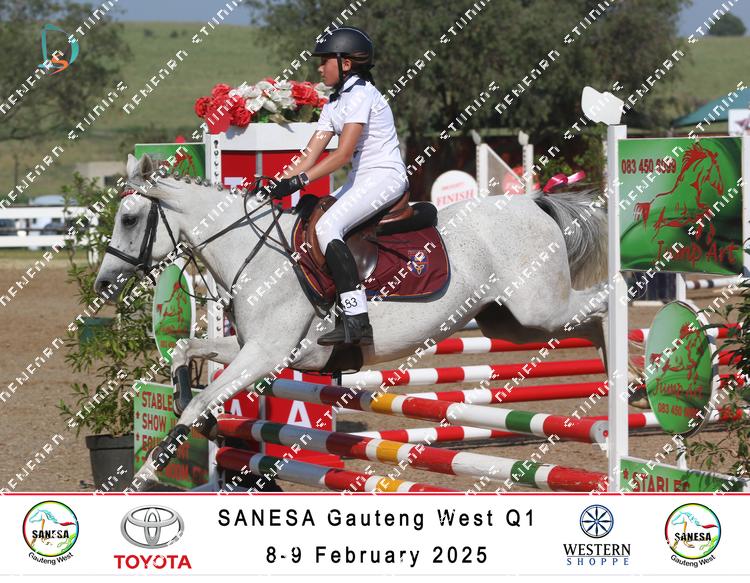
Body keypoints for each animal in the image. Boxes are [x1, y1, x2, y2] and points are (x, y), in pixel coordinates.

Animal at [94, 154, 610, 490]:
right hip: (510, 321)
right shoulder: (251, 348)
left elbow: (196, 405)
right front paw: (193, 407)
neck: (254, 254)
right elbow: (186, 354)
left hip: (538, 307)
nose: (103, 283)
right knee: (585, 322)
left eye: (129, 218)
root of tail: (534, 203)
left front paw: (147, 471)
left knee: (605, 302)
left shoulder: (266, 355)